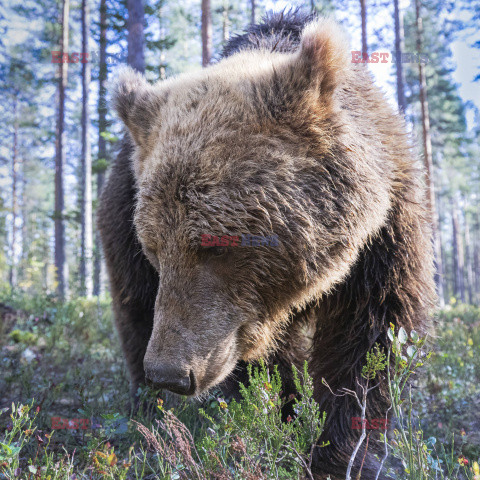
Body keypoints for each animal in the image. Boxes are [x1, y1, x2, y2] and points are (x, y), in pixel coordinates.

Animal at [97, 11, 436, 480]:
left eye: (216, 245)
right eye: (156, 248)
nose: (170, 372)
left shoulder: (384, 236)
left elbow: (369, 341)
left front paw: (343, 454)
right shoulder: (237, 314)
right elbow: (261, 367)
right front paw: (284, 420)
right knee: (135, 307)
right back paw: (148, 411)